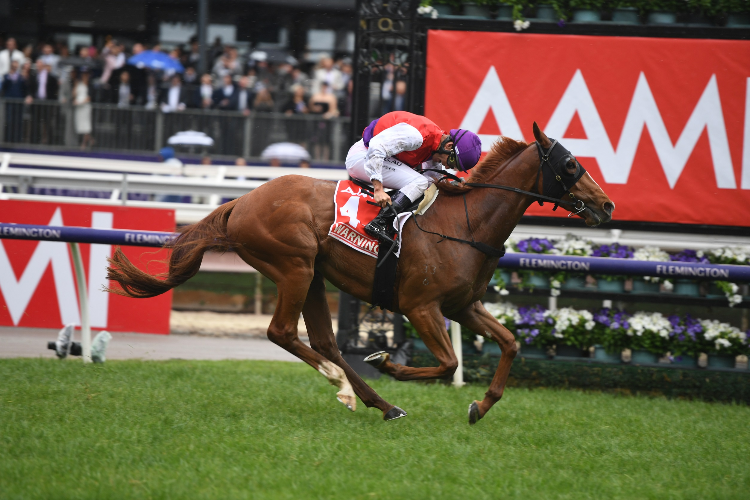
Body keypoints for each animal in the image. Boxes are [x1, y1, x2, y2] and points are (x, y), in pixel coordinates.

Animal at [107, 126, 616, 426]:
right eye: (571, 165)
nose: (607, 204)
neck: (466, 225)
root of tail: (242, 202)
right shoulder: (420, 307)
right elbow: (449, 362)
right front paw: (389, 363)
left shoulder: (462, 305)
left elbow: (509, 343)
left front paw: (479, 406)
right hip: (293, 266)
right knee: (282, 333)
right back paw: (349, 389)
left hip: (312, 274)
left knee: (322, 340)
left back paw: (378, 402)